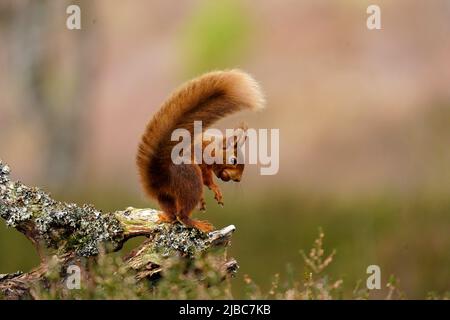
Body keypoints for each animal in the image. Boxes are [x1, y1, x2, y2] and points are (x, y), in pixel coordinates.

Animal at [136, 69, 264, 232]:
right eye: (233, 160)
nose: (238, 179)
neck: (213, 147)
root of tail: (158, 177)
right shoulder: (201, 159)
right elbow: (207, 178)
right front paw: (215, 188)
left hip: (167, 196)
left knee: (172, 213)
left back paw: (165, 217)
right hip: (190, 178)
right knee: (182, 215)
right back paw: (197, 223)